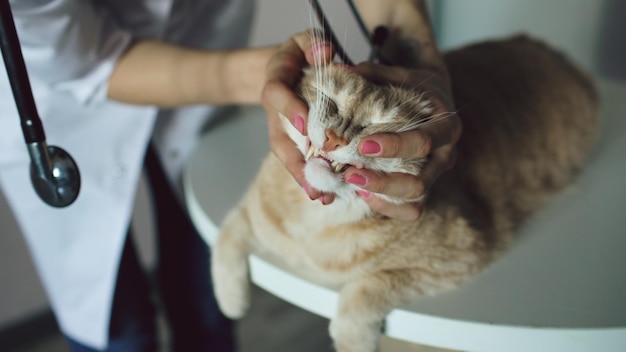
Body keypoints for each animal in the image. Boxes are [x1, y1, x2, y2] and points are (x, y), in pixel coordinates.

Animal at [212, 35, 596, 352]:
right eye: (329, 101)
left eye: (374, 127)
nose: (335, 140)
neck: (317, 223)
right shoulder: (253, 213)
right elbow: (225, 239)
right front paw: (231, 302)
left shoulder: (457, 256)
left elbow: (364, 292)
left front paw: (351, 340)